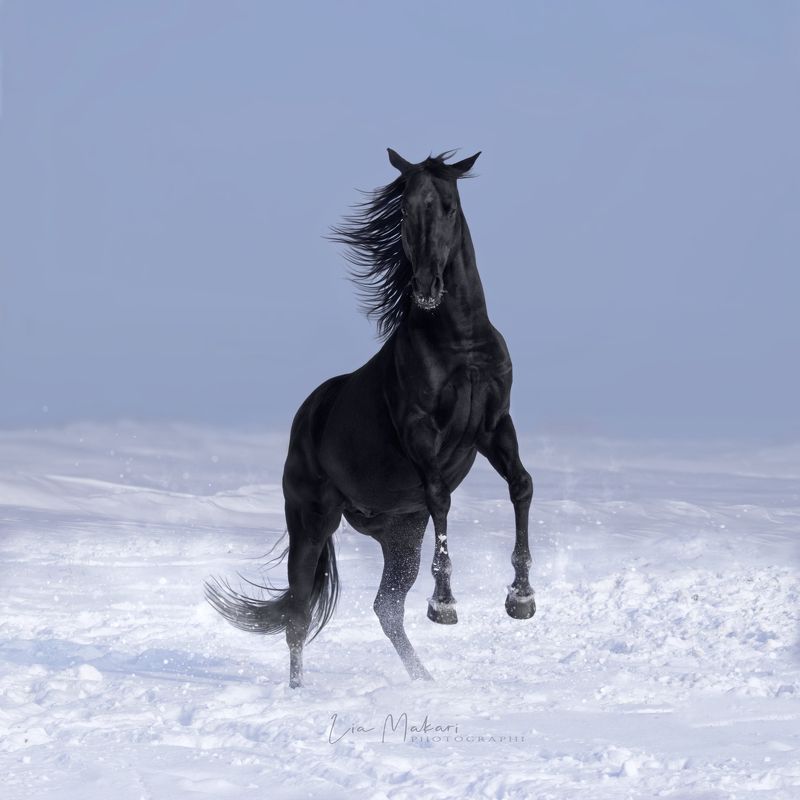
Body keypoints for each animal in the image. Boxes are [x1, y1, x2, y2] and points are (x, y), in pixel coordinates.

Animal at [205, 148, 535, 688]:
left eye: (448, 206)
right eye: (404, 211)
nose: (426, 288)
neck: (460, 342)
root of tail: (307, 416)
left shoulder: (494, 427)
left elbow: (521, 485)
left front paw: (522, 598)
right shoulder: (421, 431)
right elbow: (442, 497)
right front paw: (444, 605)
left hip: (400, 536)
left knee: (386, 608)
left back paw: (425, 682)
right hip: (312, 523)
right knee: (299, 615)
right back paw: (299, 692)